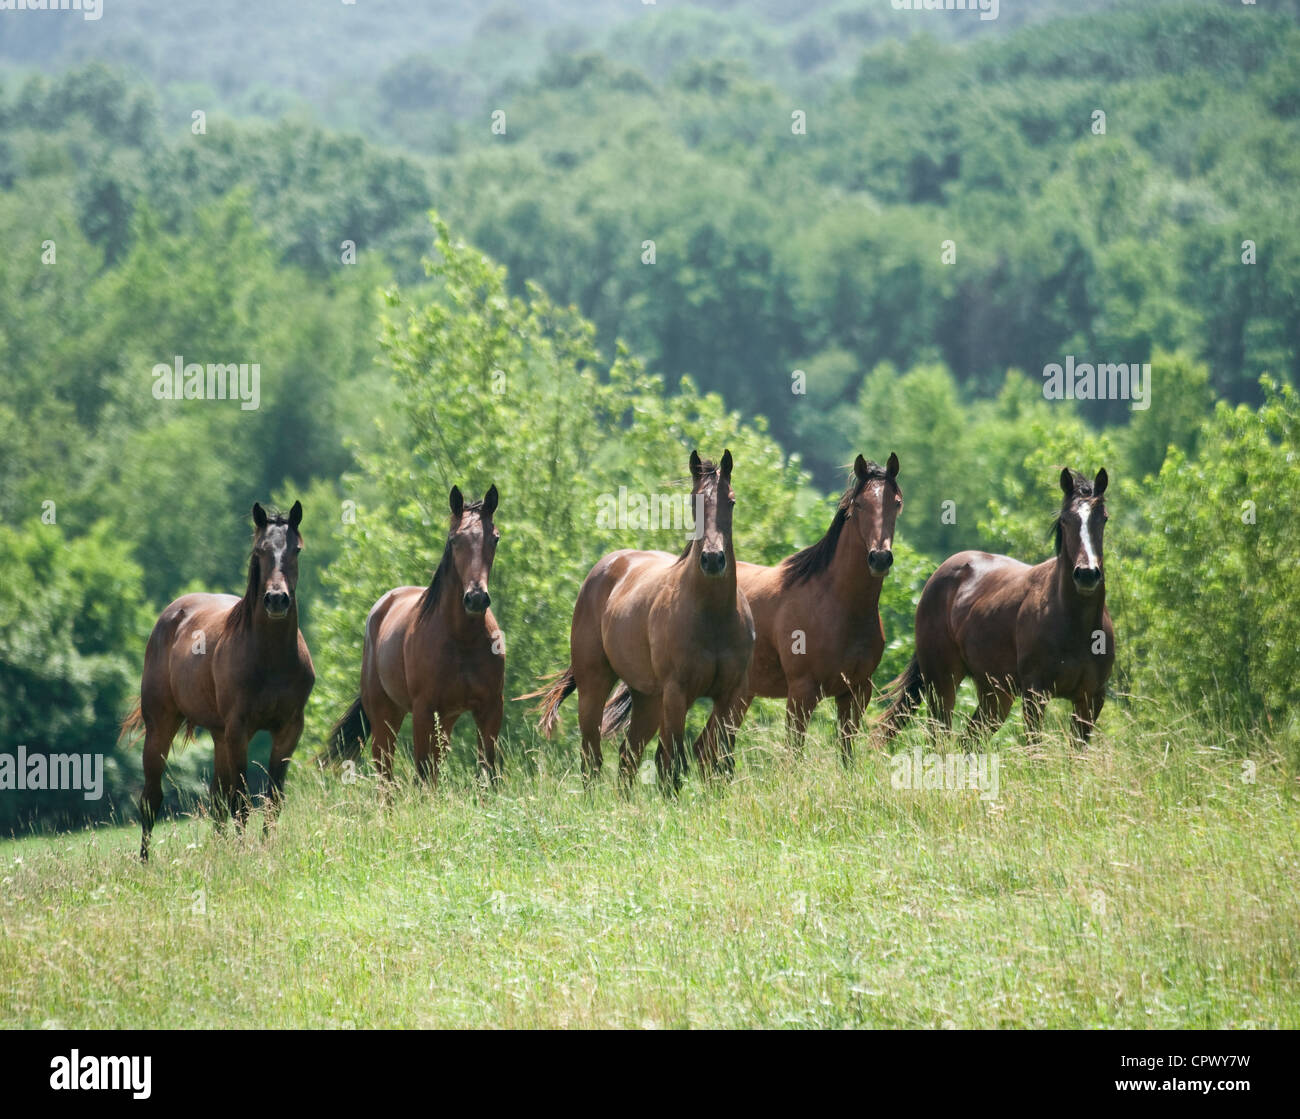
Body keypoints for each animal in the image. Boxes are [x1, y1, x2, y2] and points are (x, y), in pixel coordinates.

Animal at [124, 501, 317, 857]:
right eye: (260, 550)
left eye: (296, 549)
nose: (276, 599)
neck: (271, 658)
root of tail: (171, 614)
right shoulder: (239, 730)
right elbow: (241, 799)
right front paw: (242, 852)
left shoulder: (288, 730)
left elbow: (272, 798)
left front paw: (264, 847)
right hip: (161, 727)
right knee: (151, 798)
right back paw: (144, 860)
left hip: (217, 735)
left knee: (216, 799)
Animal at [325, 486, 501, 784]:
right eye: (454, 539)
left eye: (495, 538)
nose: (476, 598)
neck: (462, 639)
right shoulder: (423, 711)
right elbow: (424, 773)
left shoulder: (489, 710)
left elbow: (489, 772)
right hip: (386, 716)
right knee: (385, 772)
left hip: (445, 720)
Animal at [525, 447, 754, 795]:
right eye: (695, 500)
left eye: (731, 500)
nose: (713, 559)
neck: (712, 616)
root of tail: (607, 565)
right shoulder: (677, 694)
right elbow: (672, 762)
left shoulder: (729, 694)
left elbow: (719, 758)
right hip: (596, 686)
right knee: (592, 757)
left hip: (648, 700)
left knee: (627, 756)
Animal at [873, 467, 1118, 748]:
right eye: (1066, 520)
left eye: (1103, 518)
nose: (1087, 574)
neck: (1075, 623)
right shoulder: (1035, 694)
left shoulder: (1091, 699)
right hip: (942, 682)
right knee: (940, 736)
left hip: (995, 695)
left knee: (967, 740)